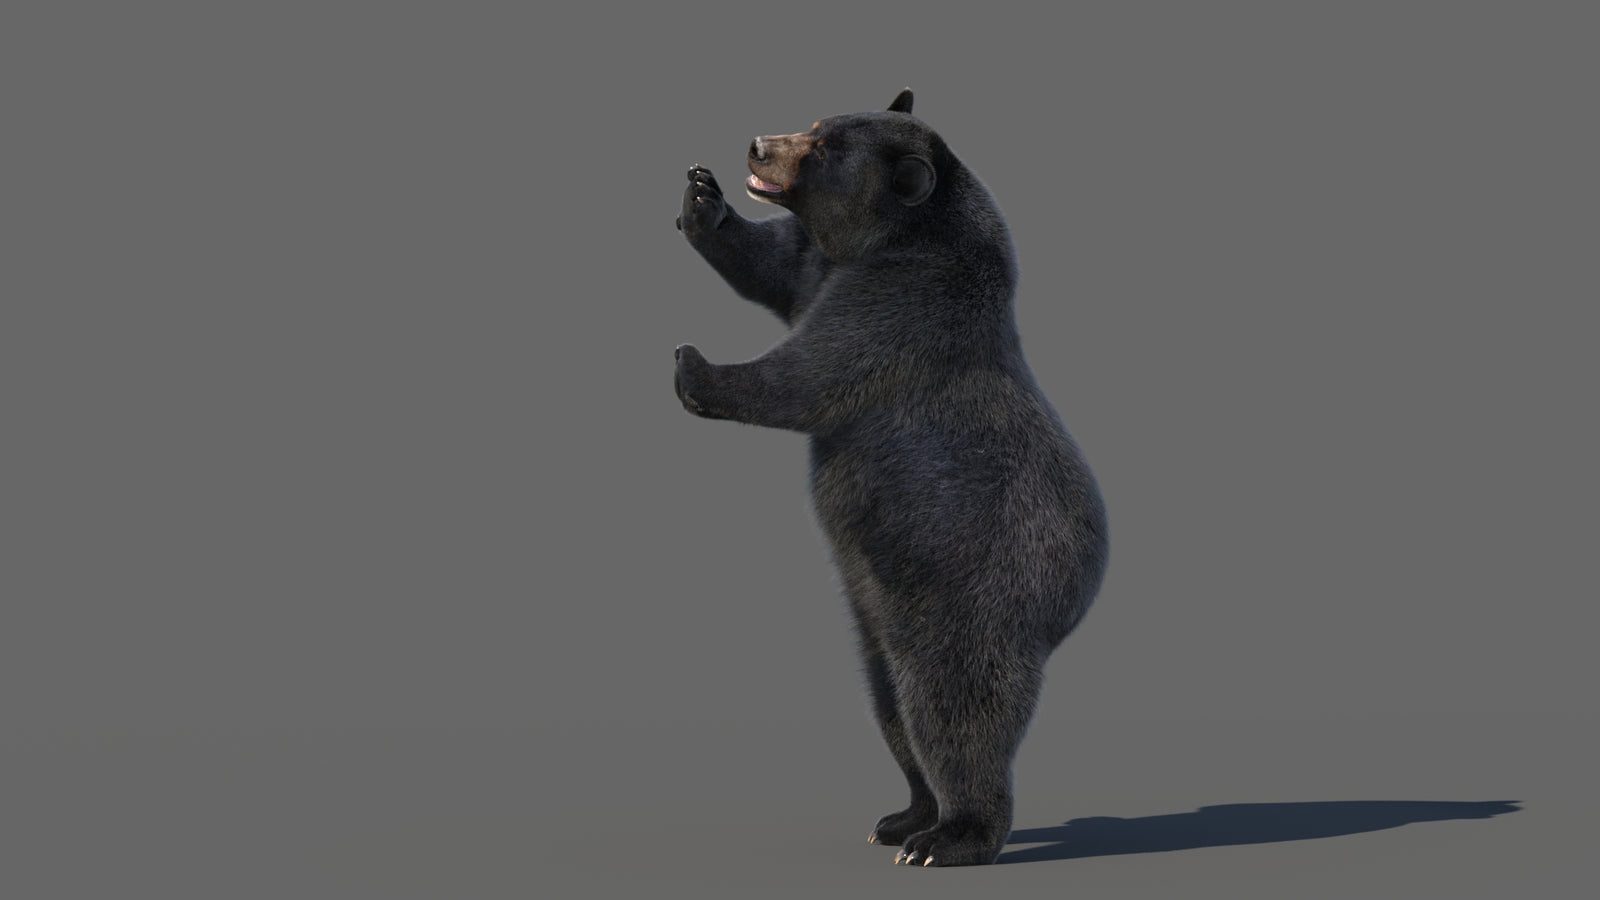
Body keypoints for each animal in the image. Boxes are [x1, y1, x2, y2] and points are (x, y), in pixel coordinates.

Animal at [672, 89, 1108, 868]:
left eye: (824, 148)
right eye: (815, 123)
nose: (758, 146)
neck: (893, 236)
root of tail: (1076, 597)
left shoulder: (907, 298)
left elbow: (815, 371)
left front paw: (695, 366)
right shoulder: (823, 265)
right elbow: (773, 263)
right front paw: (702, 198)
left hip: (976, 595)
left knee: (952, 709)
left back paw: (951, 836)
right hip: (878, 614)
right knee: (890, 706)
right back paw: (904, 817)